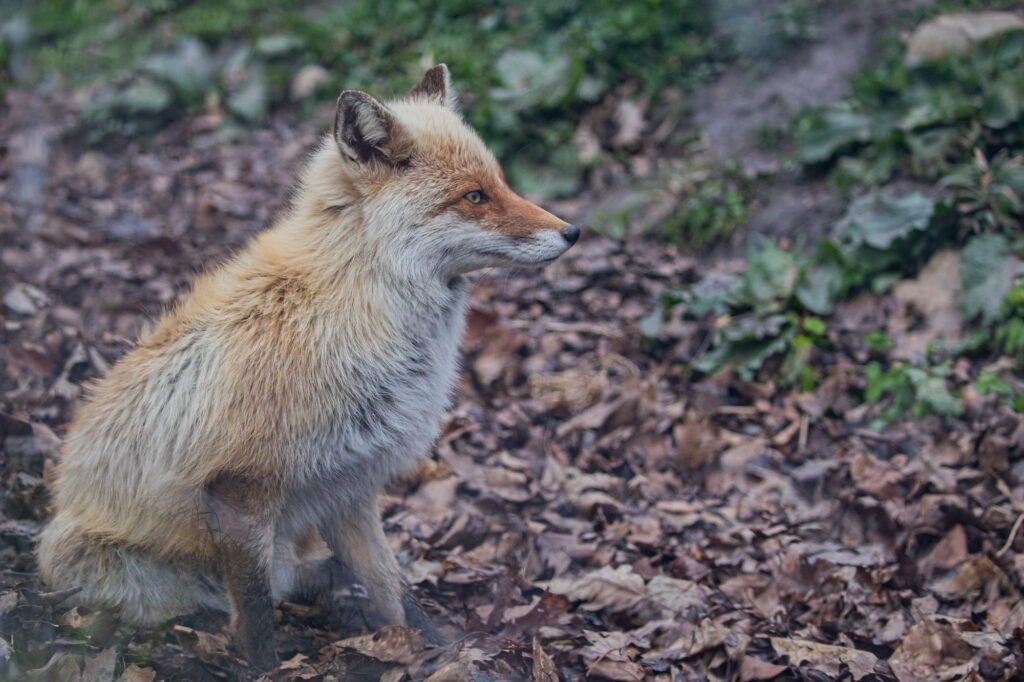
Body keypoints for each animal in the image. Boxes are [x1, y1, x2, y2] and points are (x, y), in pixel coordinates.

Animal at [36, 65, 581, 667]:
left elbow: (395, 589)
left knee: (315, 577)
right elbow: (254, 617)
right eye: (474, 196)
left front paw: (437, 653)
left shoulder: (349, 484)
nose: (572, 232)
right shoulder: (241, 488)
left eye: (501, 184)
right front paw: (265, 673)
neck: (351, 309)